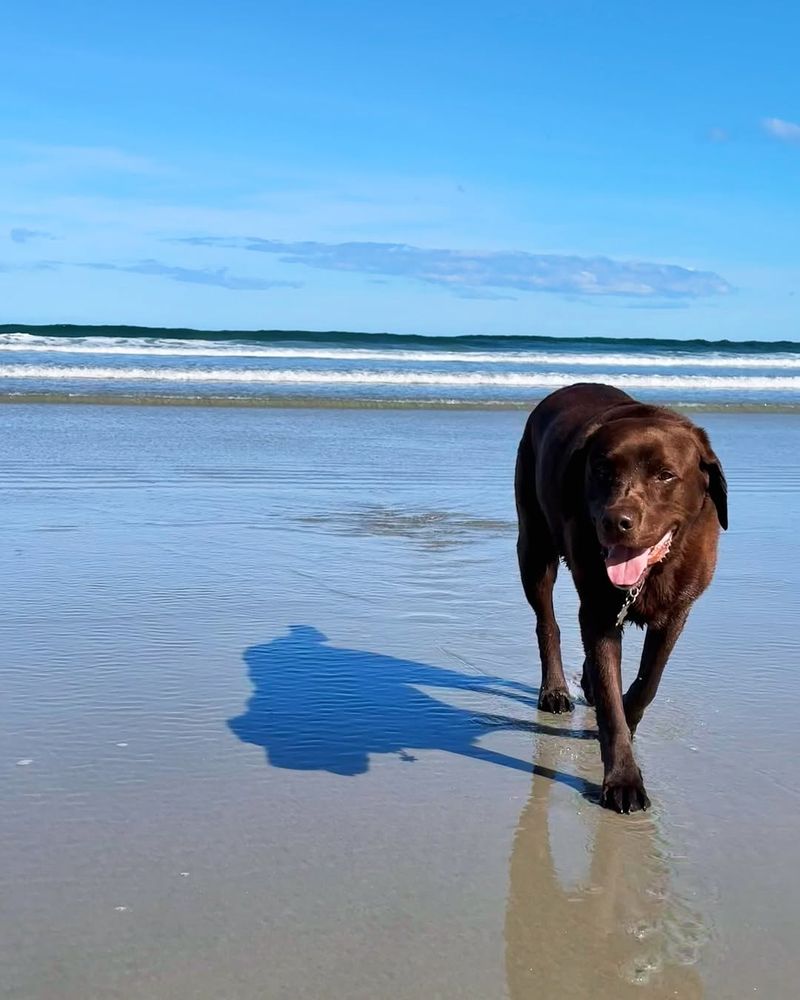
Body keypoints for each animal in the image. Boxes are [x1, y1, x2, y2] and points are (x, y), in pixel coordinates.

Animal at [516, 382, 728, 812]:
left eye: (666, 475)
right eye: (601, 471)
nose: (615, 521)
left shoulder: (677, 612)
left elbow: (649, 680)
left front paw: (626, 717)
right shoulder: (599, 611)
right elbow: (612, 697)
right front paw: (624, 779)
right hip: (533, 547)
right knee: (548, 622)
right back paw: (555, 690)